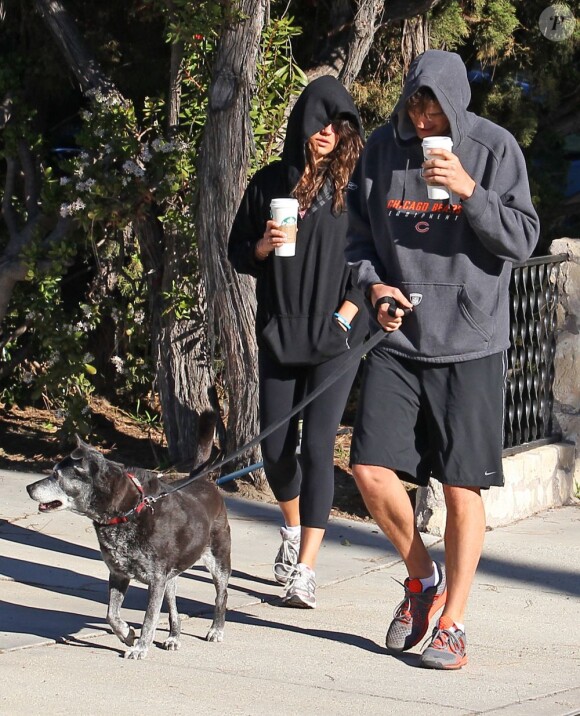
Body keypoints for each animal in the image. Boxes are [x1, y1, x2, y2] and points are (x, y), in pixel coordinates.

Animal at [27, 420, 231, 660]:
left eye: (56, 476)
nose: (28, 487)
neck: (128, 510)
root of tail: (204, 481)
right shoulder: (119, 573)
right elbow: (111, 615)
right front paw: (127, 635)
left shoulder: (155, 579)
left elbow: (149, 619)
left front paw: (140, 648)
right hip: (171, 577)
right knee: (173, 608)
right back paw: (173, 637)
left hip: (218, 561)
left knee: (221, 595)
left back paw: (216, 629)